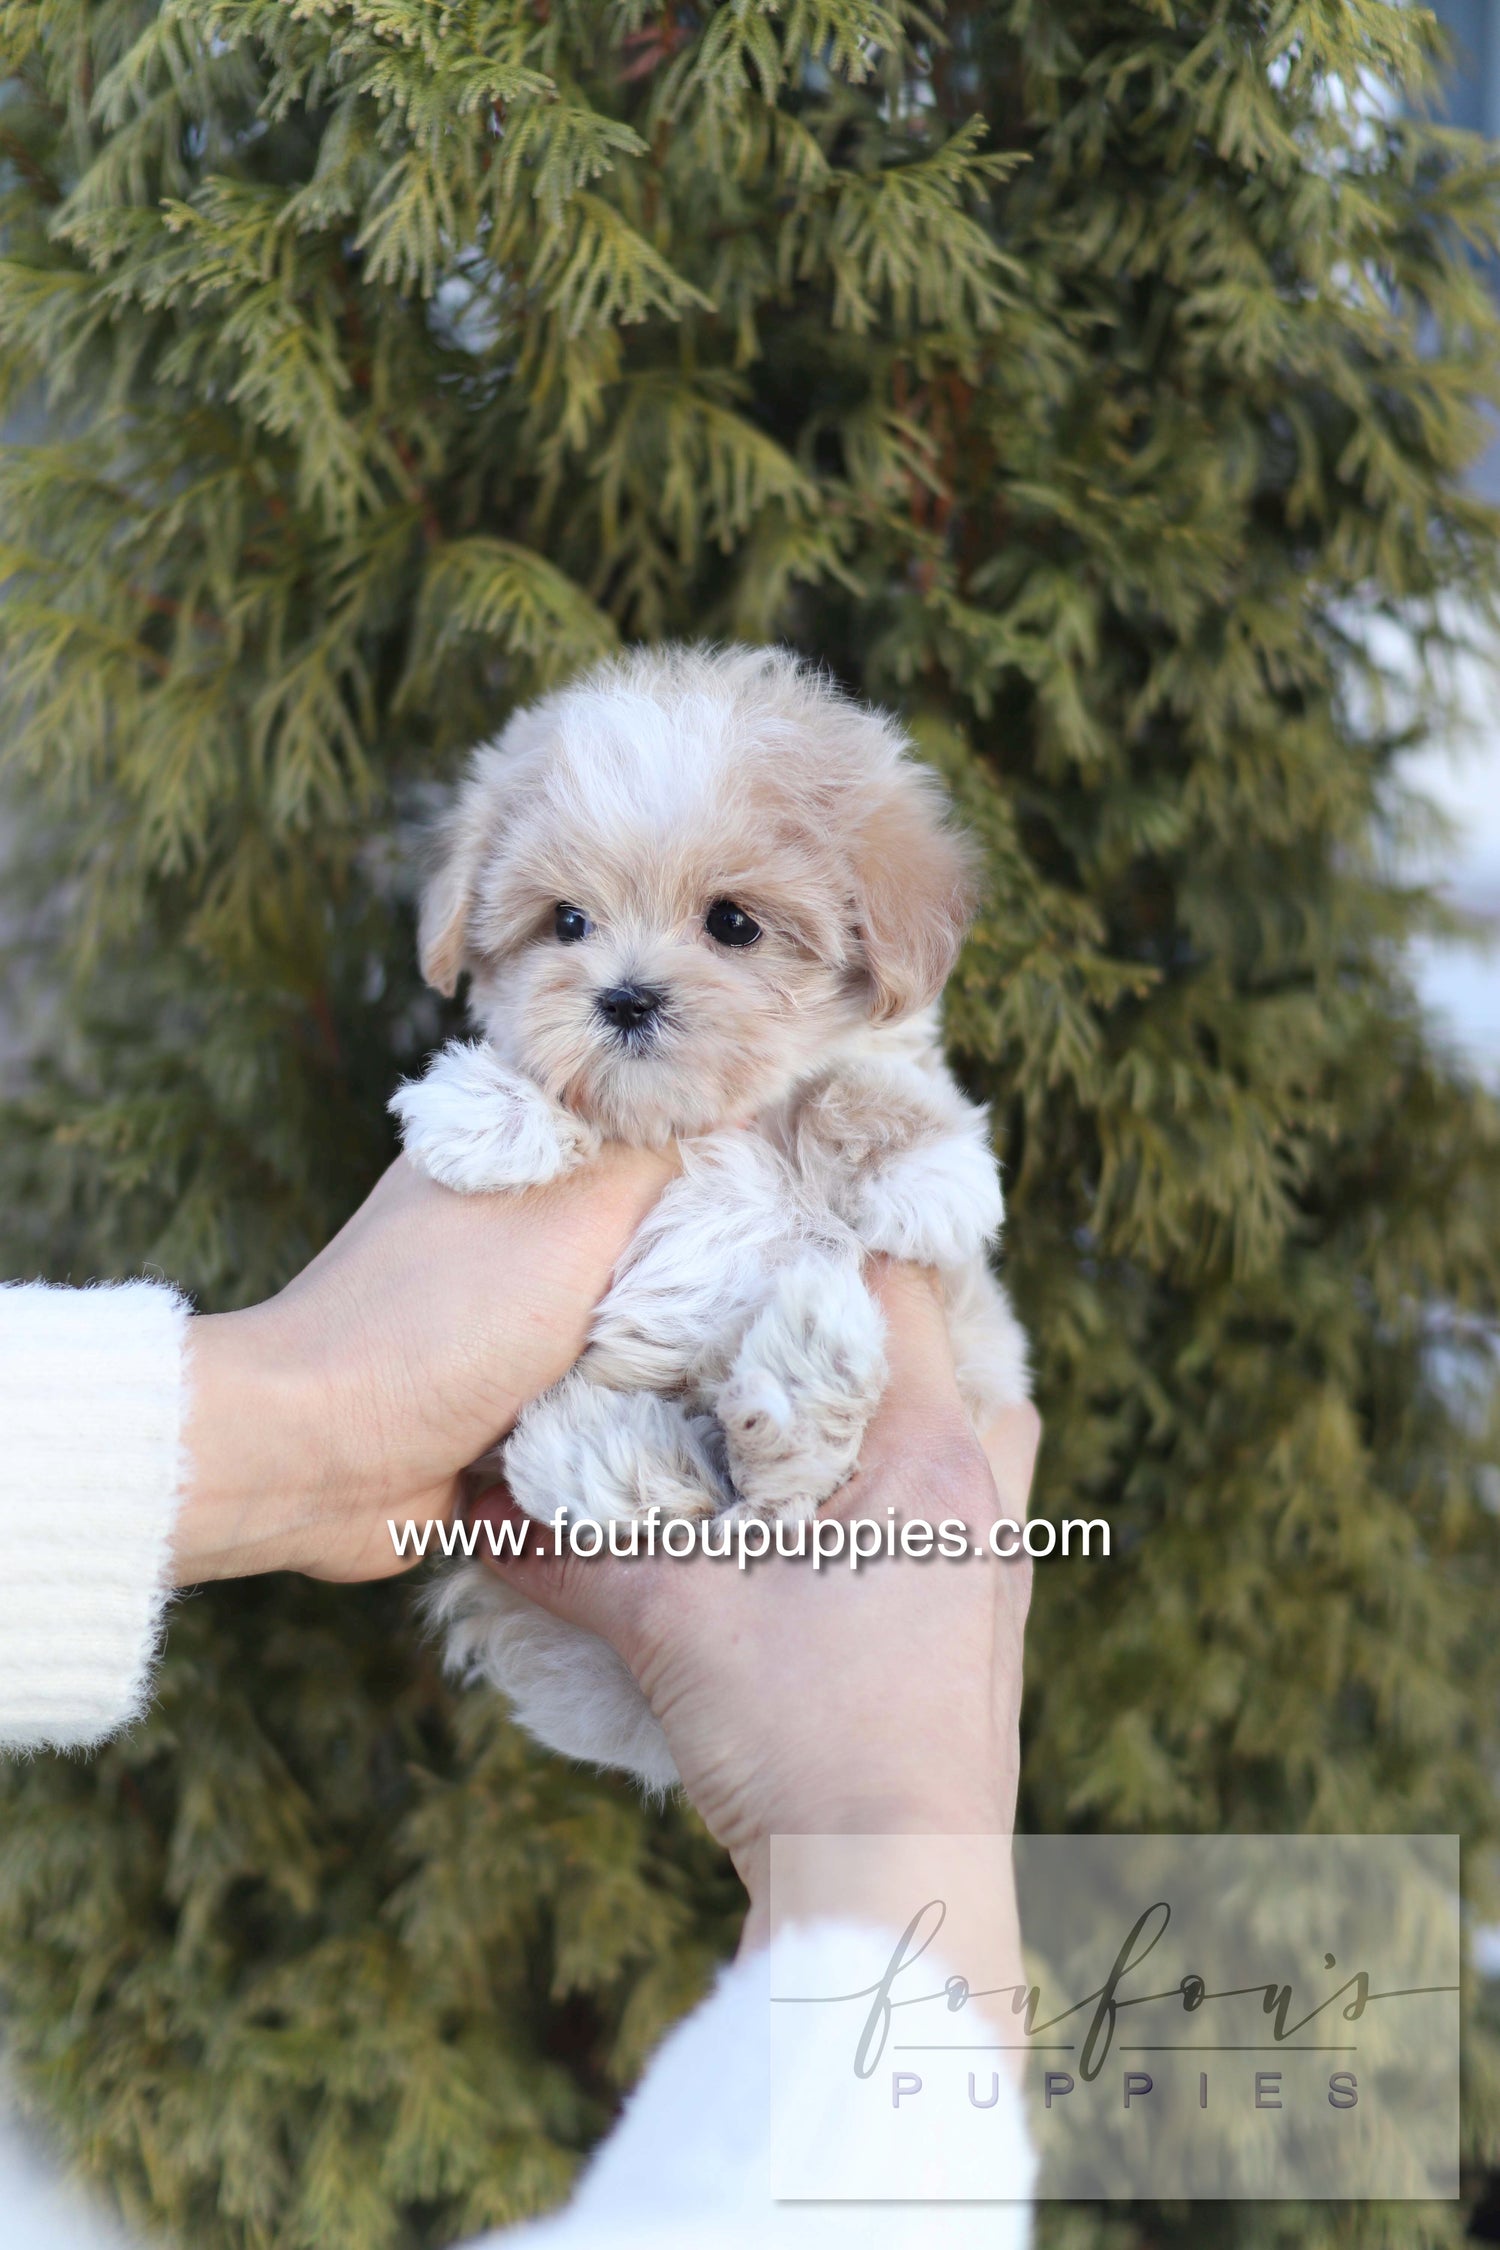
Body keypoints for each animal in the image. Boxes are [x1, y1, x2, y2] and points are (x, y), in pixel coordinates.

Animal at [393, 643, 1034, 1782]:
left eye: (733, 923)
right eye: (566, 923)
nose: (625, 998)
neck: (702, 1130)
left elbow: (851, 1092)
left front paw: (920, 1162)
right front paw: (488, 1110)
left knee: (781, 1493)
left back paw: (802, 1371)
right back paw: (616, 1450)